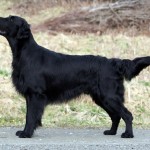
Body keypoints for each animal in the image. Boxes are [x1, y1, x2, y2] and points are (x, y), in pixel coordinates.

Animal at [0, 15, 149, 138]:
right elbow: (29, 115)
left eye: (11, 19)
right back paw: (111, 132)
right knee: (116, 116)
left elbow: (30, 116)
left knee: (127, 115)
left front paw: (26, 133)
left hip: (109, 96)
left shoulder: (35, 94)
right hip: (102, 98)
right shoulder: (30, 95)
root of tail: (114, 62)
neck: (26, 53)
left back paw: (128, 134)